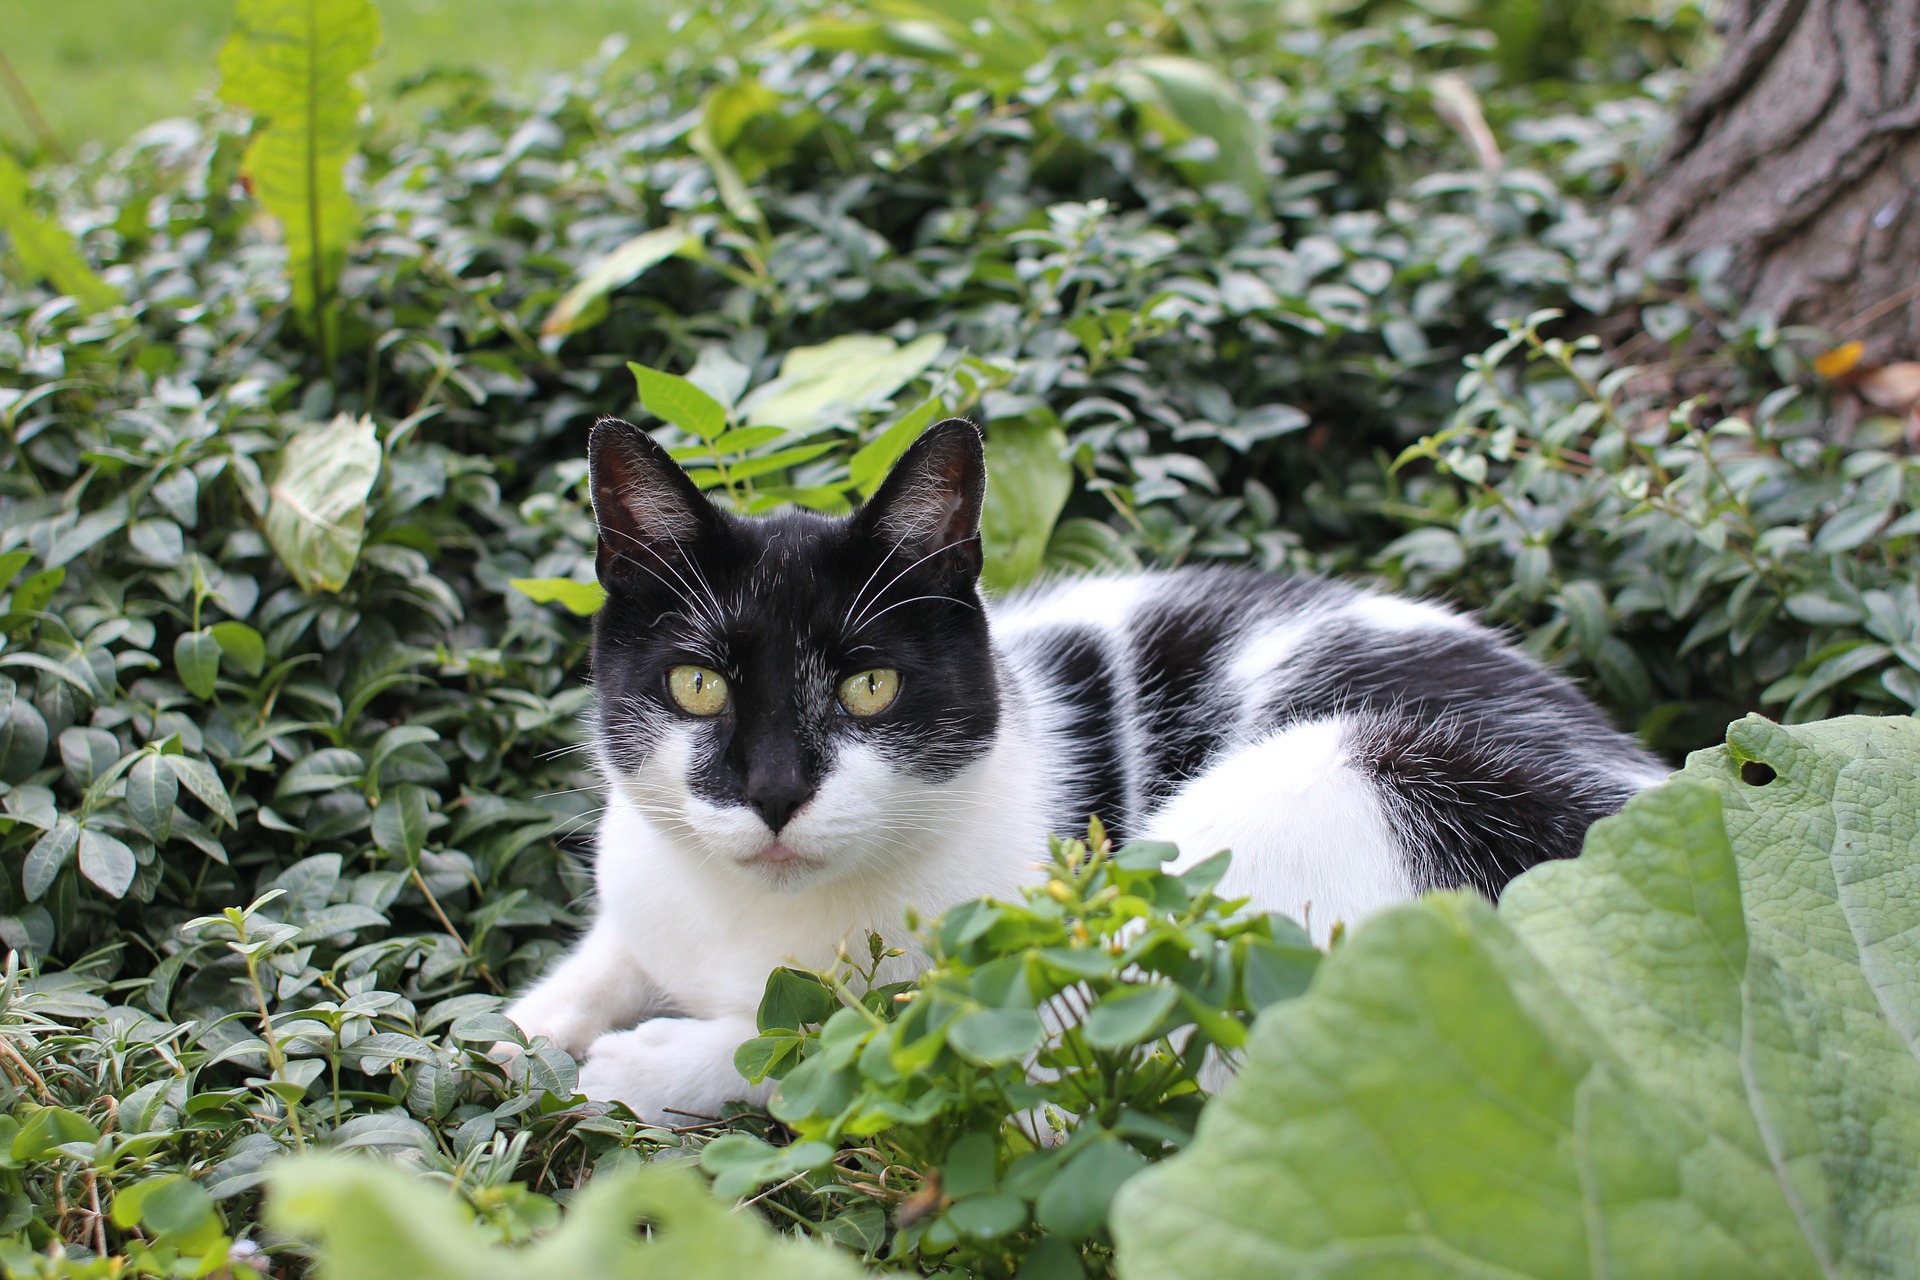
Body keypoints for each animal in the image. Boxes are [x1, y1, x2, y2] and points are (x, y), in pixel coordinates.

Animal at [510, 418, 1666, 1120]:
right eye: (697, 686)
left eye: (870, 687)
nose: (775, 792)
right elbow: (607, 953)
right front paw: (522, 1028)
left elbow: (854, 1035)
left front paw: (649, 1061)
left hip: (1333, 786)